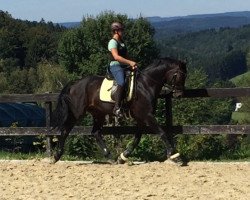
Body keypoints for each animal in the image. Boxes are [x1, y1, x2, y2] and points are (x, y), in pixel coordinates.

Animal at [51, 56, 187, 164]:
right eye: (180, 76)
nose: (179, 95)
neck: (146, 85)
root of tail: (74, 83)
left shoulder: (141, 118)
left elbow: (137, 138)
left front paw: (123, 156)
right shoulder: (147, 115)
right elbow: (162, 132)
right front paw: (175, 156)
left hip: (98, 113)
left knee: (95, 132)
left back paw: (110, 157)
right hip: (77, 113)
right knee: (65, 130)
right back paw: (56, 156)